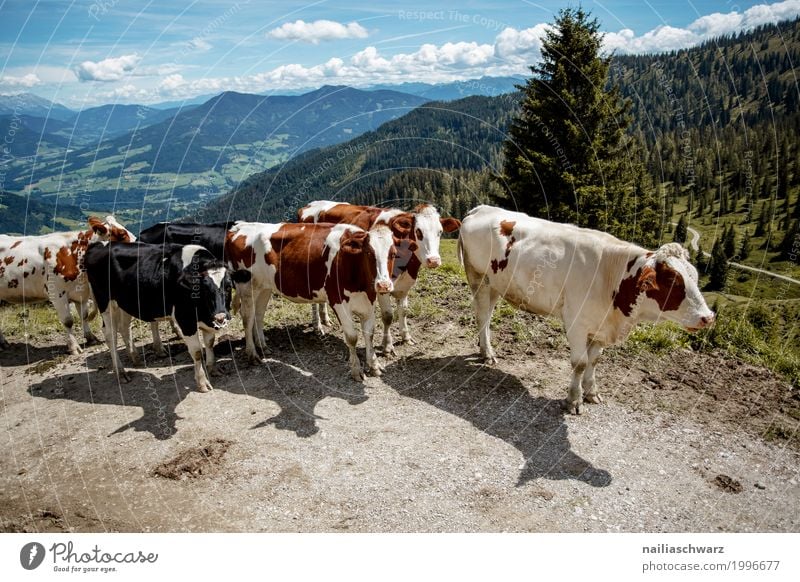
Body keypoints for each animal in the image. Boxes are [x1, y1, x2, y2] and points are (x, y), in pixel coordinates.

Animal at [0, 217, 136, 356]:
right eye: (122, 235)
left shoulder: (81, 292)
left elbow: (84, 316)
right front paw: (74, 347)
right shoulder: (57, 294)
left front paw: (90, 337)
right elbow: (68, 321)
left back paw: (3, 343)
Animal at [84, 240, 247, 394]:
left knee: (124, 327)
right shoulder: (185, 319)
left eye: (228, 287)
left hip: (124, 302)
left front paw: (213, 369)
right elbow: (197, 352)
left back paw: (135, 358)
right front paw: (202, 382)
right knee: (110, 334)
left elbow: (210, 343)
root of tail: (97, 244)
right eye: (204, 290)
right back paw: (121, 373)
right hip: (105, 302)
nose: (220, 316)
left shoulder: (208, 320)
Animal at [223, 221, 396, 380]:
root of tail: (239, 227)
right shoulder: (338, 301)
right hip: (246, 285)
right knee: (247, 318)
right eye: (368, 253)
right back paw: (252, 354)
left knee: (258, 315)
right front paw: (356, 371)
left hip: (264, 287)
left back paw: (262, 346)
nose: (383, 285)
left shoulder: (369, 302)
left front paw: (374, 366)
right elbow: (352, 338)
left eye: (393, 254)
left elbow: (369, 334)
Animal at [296, 201, 460, 356]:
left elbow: (404, 311)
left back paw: (325, 320)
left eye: (440, 232)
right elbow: (388, 316)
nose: (434, 260)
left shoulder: (405, 284)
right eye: (418, 231)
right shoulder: (381, 285)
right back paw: (317, 327)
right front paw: (387, 346)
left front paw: (406, 337)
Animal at [460, 205, 716, 416]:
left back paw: (485, 348)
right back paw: (487, 353)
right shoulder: (577, 323)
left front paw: (592, 392)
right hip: (478, 277)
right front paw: (574, 400)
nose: (708, 317)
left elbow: (594, 361)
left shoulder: (601, 325)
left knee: (487, 315)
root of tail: (481, 208)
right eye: (673, 281)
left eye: (695, 276)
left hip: (497, 284)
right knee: (482, 316)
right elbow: (580, 363)